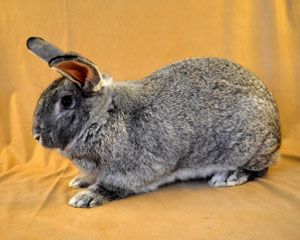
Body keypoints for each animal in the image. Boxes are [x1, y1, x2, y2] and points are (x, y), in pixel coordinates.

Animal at [27, 36, 280, 207]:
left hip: (249, 148)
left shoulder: (138, 169)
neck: (103, 117)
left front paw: (85, 197)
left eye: (67, 101)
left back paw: (228, 177)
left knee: (261, 168)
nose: (36, 135)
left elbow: (114, 185)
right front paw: (80, 181)